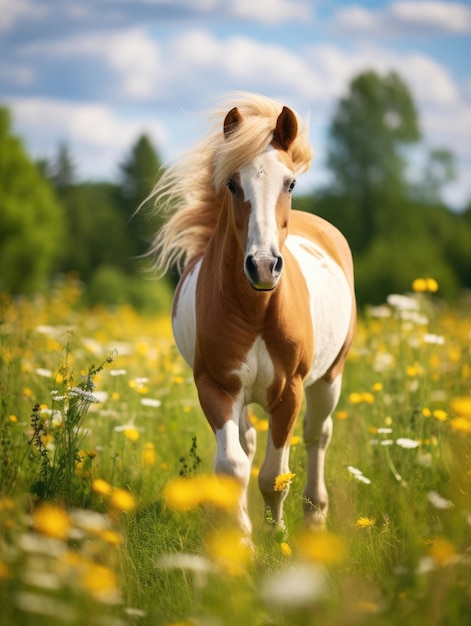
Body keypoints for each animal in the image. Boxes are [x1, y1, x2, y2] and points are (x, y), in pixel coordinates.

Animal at [149, 92, 356, 532]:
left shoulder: (290, 393)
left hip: (330, 377)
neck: (257, 311)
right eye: (231, 182)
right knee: (247, 443)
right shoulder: (217, 387)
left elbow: (274, 475)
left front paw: (277, 535)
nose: (262, 266)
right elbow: (234, 467)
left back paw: (315, 514)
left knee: (317, 435)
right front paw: (242, 537)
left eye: (290, 182)